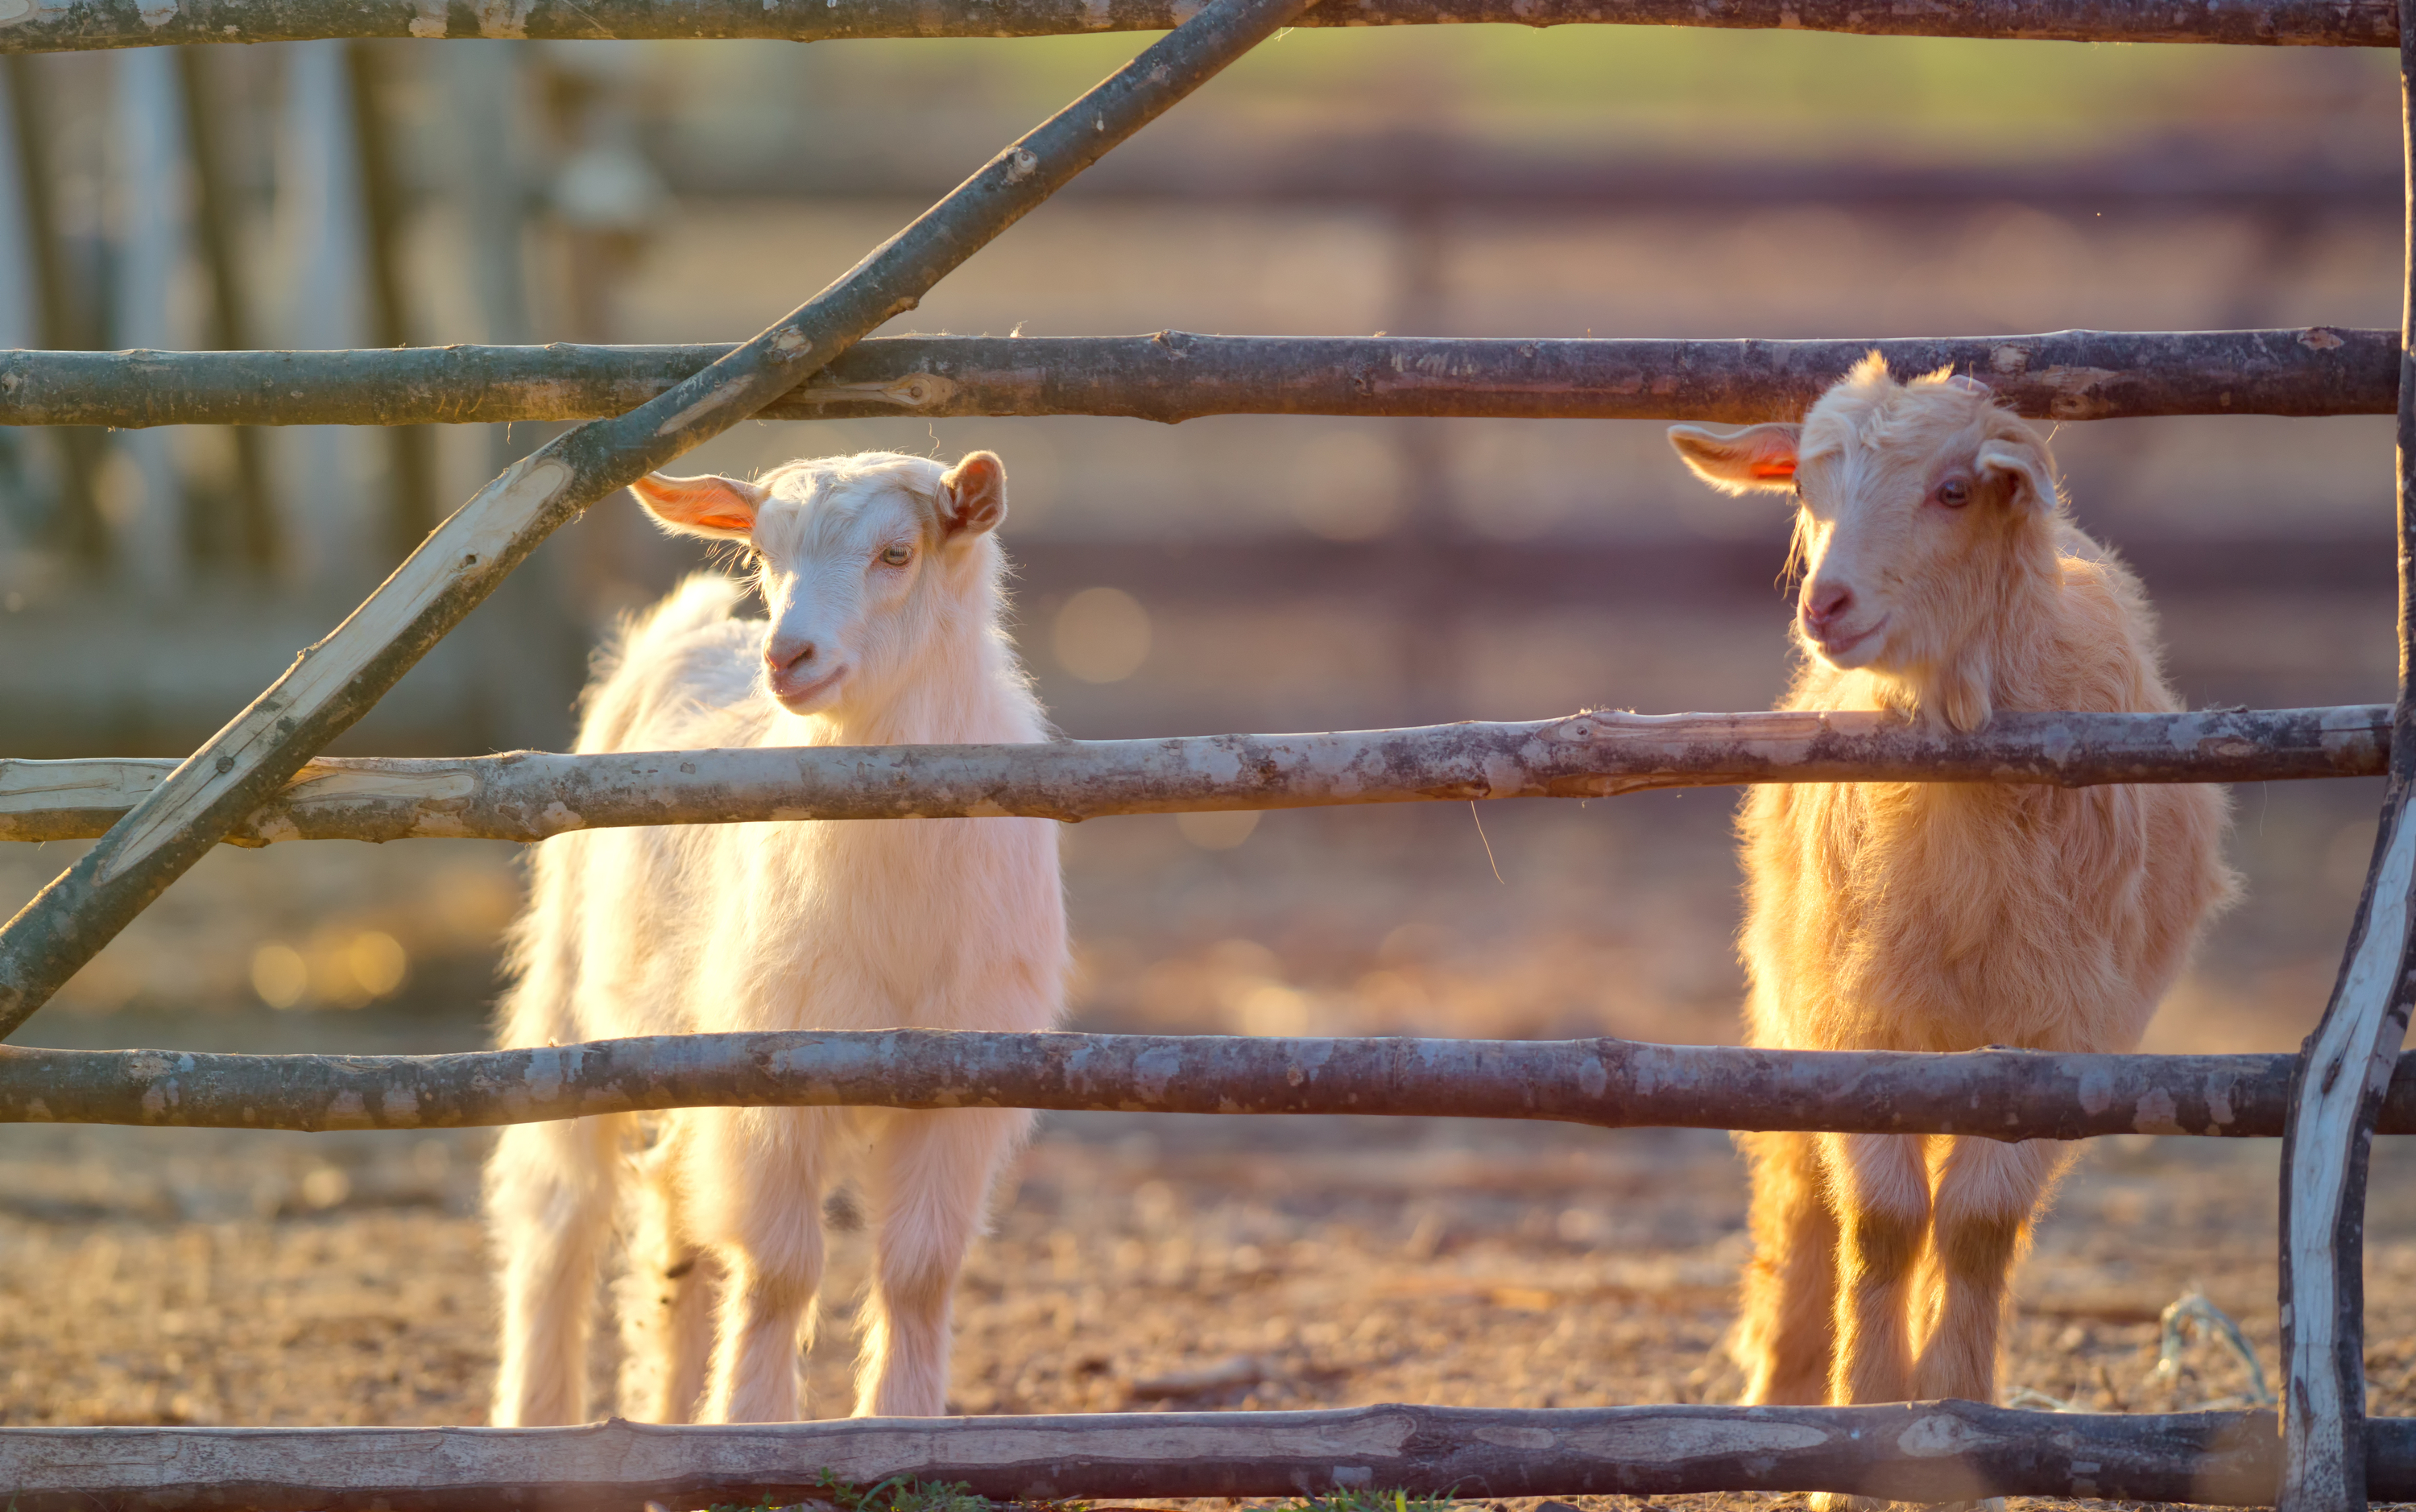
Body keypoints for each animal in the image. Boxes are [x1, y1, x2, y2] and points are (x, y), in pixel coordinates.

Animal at [486, 449, 1063, 1420]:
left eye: (898, 552)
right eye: (762, 555)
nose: (786, 656)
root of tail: (687, 635)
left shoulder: (967, 1082)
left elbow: (920, 1272)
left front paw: (897, 1424)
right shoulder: (771, 1077)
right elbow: (779, 1273)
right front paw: (752, 1420)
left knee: (668, 1210)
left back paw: (667, 1412)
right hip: (571, 992)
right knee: (559, 1206)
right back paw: (539, 1413)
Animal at [1672, 355, 2232, 1420]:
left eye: (1955, 491)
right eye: (1806, 490)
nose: (1826, 604)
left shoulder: (2064, 1037)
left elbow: (1976, 1228)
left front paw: (1954, 1405)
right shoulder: (1851, 1019)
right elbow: (1882, 1222)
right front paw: (1864, 1416)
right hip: (1788, 993)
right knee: (1800, 1192)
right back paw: (1783, 1379)